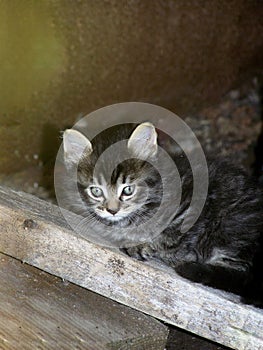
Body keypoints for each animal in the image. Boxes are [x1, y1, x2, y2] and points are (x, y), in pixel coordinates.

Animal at [62, 122, 263, 306]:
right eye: (96, 191)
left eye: (127, 190)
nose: (112, 210)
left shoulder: (192, 202)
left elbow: (171, 236)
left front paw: (148, 247)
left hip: (232, 226)